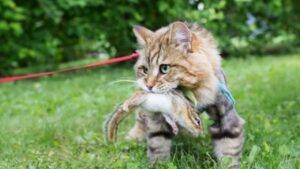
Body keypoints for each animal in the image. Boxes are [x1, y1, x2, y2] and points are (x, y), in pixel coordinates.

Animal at [130, 21, 245, 168]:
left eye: (164, 68)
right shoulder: (158, 120)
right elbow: (158, 145)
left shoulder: (226, 118)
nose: (149, 86)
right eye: (145, 70)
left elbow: (229, 151)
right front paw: (159, 164)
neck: (195, 96)